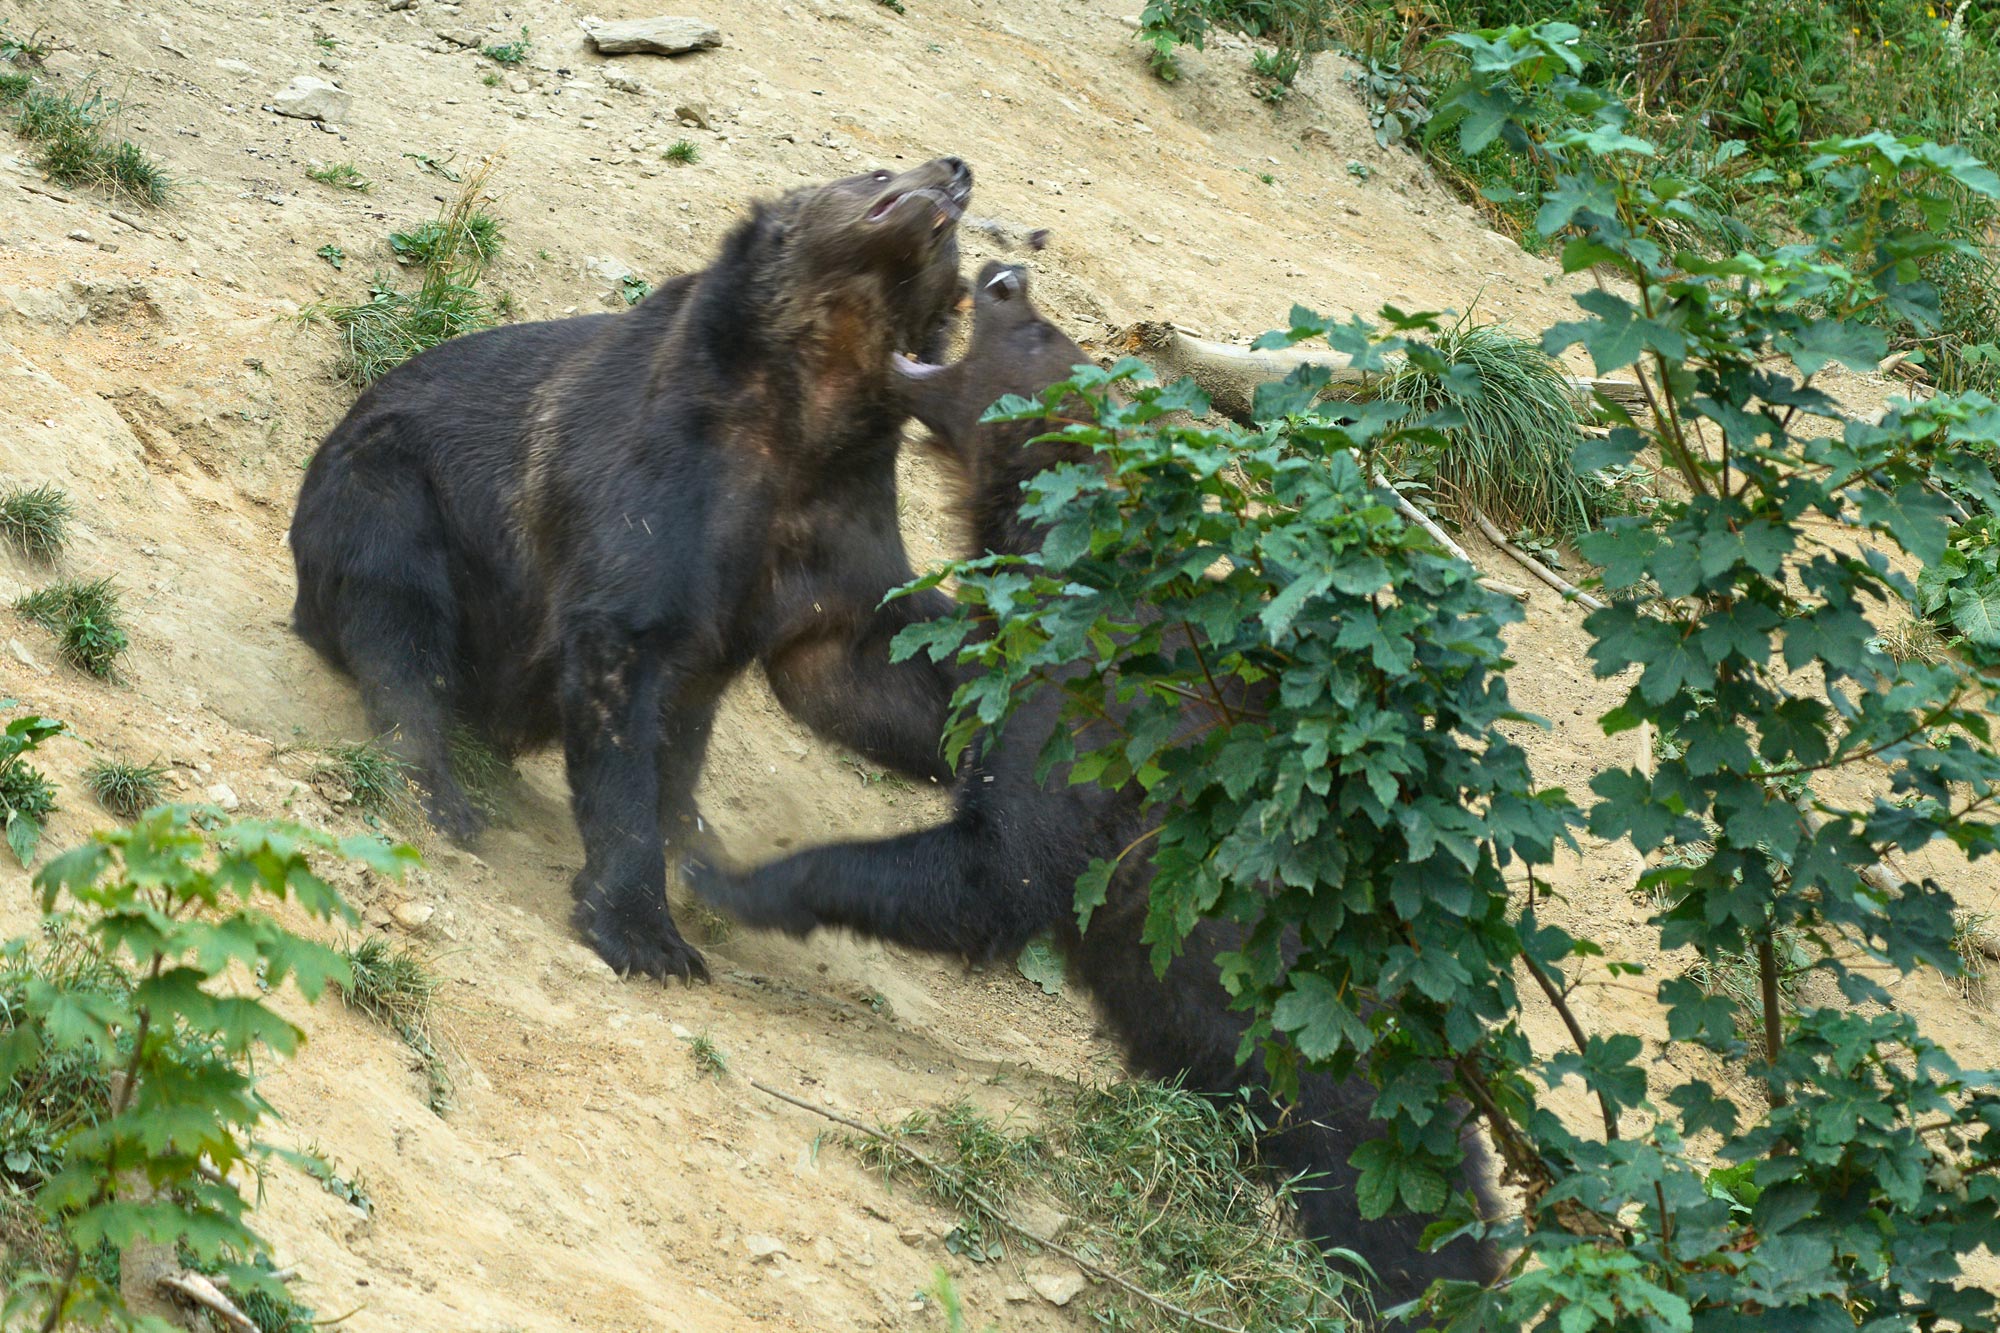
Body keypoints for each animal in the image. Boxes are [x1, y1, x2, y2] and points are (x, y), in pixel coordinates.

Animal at [292, 158, 976, 976]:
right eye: (877, 172)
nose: (955, 171)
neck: (801, 413)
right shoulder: (658, 483)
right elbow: (621, 672)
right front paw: (641, 928)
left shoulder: (831, 526)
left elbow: (864, 671)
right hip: (393, 484)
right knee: (397, 612)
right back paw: (438, 792)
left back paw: (699, 837)